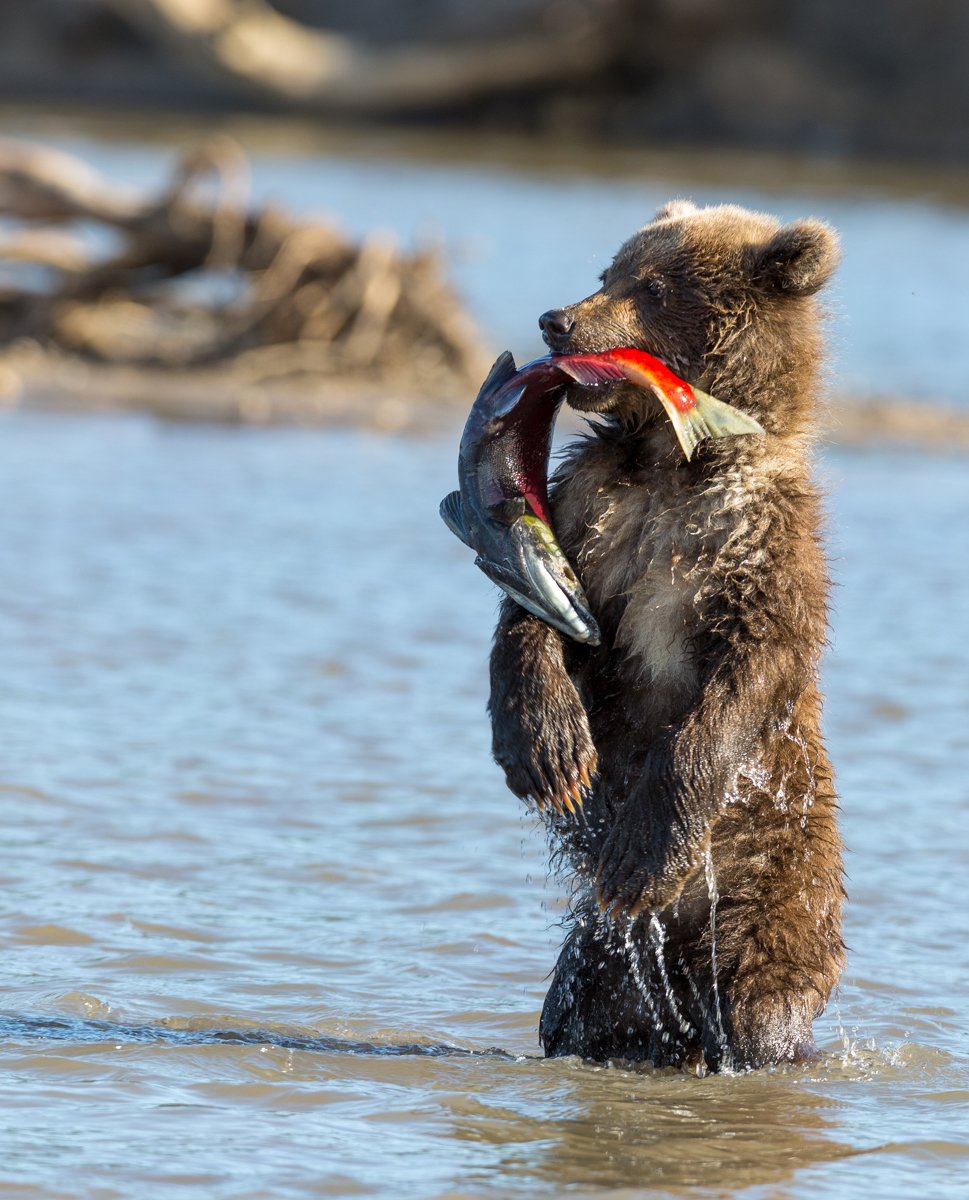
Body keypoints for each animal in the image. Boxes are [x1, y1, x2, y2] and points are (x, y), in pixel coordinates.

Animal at [489, 201, 844, 1075]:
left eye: (651, 287)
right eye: (607, 269)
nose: (556, 319)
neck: (673, 456)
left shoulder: (753, 543)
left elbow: (744, 676)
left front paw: (640, 855)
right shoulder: (595, 510)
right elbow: (538, 611)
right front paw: (548, 753)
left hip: (773, 896)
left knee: (760, 1008)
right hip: (600, 959)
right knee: (578, 1010)